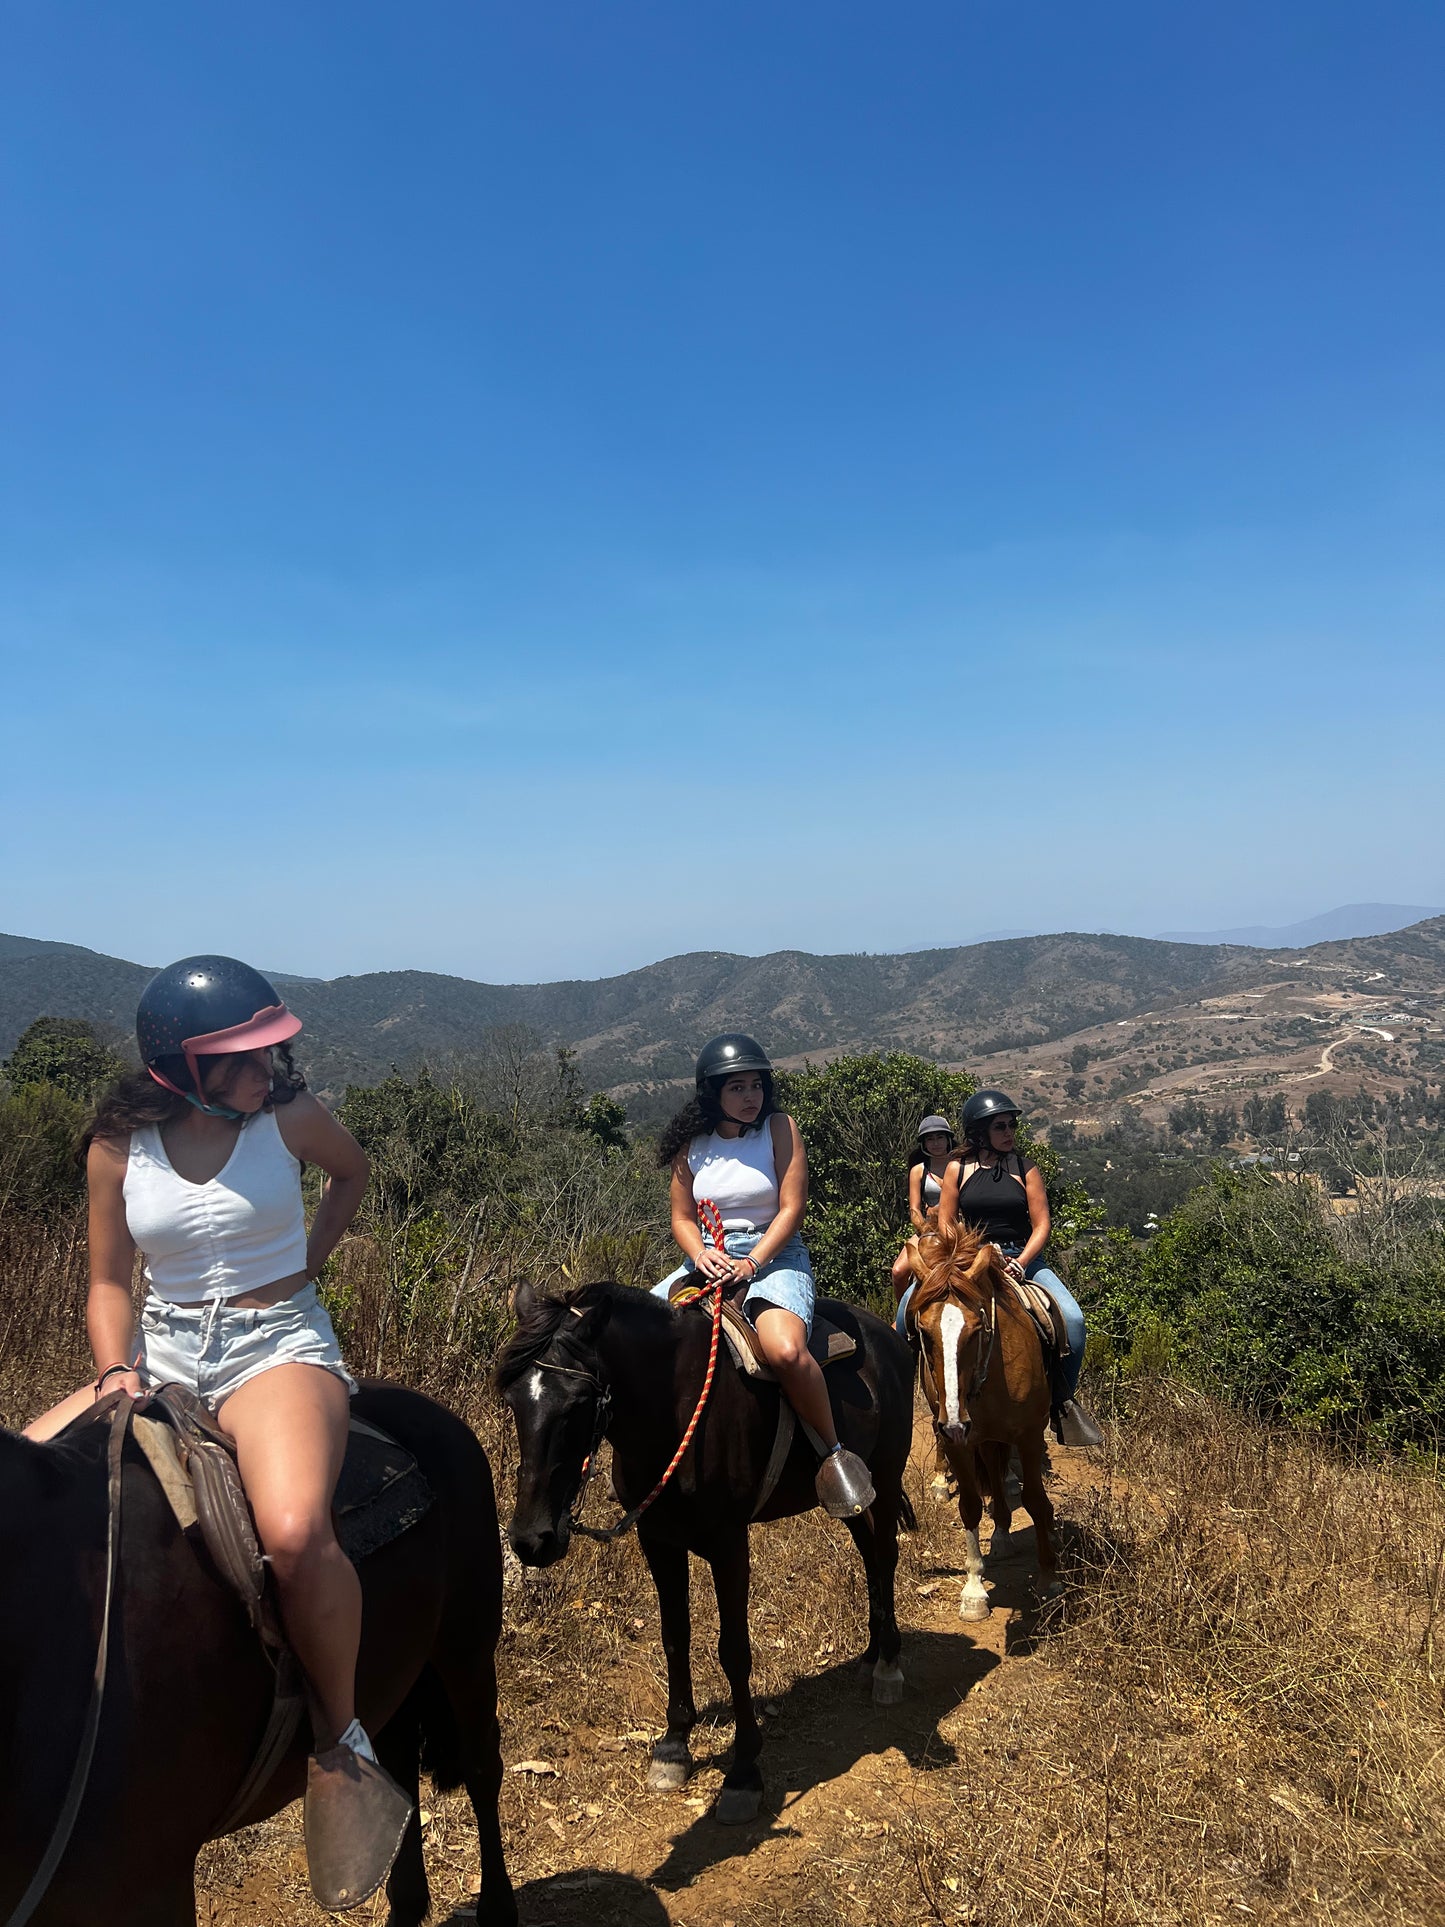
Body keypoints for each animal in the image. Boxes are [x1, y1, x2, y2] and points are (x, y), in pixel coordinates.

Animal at [497, 1279, 909, 1819]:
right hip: (851, 1504)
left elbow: (734, 1650)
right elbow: (675, 1637)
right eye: (513, 1403)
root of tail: (888, 1335)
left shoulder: (728, 1544)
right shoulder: (658, 1541)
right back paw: (869, 1654)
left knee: (885, 1557)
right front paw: (674, 1746)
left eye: (577, 1404)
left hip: (886, 1475)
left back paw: (889, 1666)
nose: (532, 1539)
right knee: (867, 1557)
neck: (672, 1410)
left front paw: (744, 1771)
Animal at [909, 1225, 1055, 1618]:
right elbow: (971, 1505)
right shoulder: (959, 1440)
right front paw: (974, 1591)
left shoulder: (1030, 1435)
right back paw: (1001, 1532)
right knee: (990, 1467)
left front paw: (1049, 1581)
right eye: (924, 1332)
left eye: (977, 1330)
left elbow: (1036, 1500)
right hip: (979, 1436)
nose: (954, 1423)